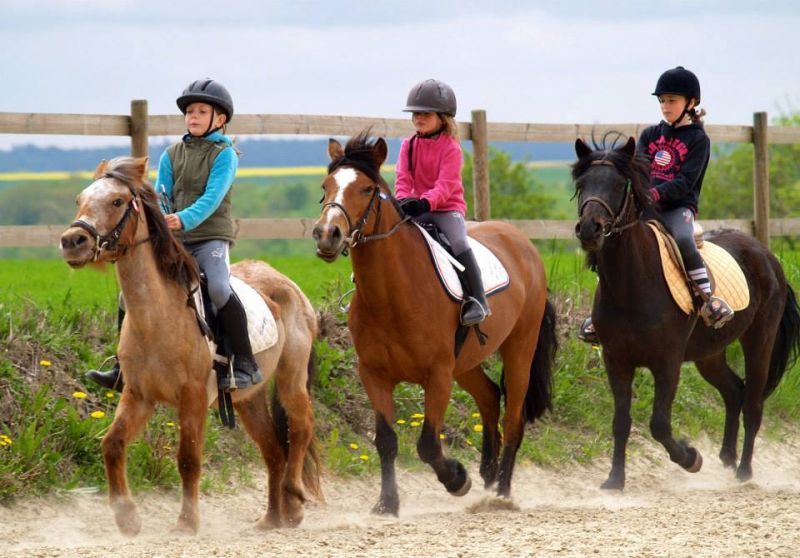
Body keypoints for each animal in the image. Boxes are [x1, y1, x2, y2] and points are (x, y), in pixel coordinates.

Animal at [59, 158, 322, 540]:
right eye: (80, 199)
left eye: (117, 201)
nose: (72, 241)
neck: (158, 316)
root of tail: (285, 281)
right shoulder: (138, 395)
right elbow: (112, 444)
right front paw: (127, 517)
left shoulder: (194, 395)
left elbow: (188, 458)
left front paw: (186, 523)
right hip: (248, 399)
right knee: (273, 450)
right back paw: (274, 518)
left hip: (292, 376)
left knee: (301, 427)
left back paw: (294, 495)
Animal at [312, 132, 556, 516]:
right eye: (327, 186)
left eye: (366, 189)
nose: (327, 234)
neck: (391, 294)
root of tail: (523, 243)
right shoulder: (374, 374)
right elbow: (386, 440)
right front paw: (387, 503)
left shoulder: (437, 374)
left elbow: (427, 443)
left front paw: (457, 479)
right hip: (466, 362)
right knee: (490, 397)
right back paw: (488, 475)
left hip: (519, 349)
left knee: (513, 417)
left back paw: (500, 492)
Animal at [576, 136, 800, 490]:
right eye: (582, 184)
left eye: (618, 185)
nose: (589, 229)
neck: (631, 285)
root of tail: (767, 256)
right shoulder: (616, 360)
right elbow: (621, 421)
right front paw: (614, 480)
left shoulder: (667, 362)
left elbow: (659, 424)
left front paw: (691, 458)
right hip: (709, 354)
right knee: (734, 392)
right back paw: (727, 459)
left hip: (759, 340)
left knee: (753, 402)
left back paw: (743, 472)